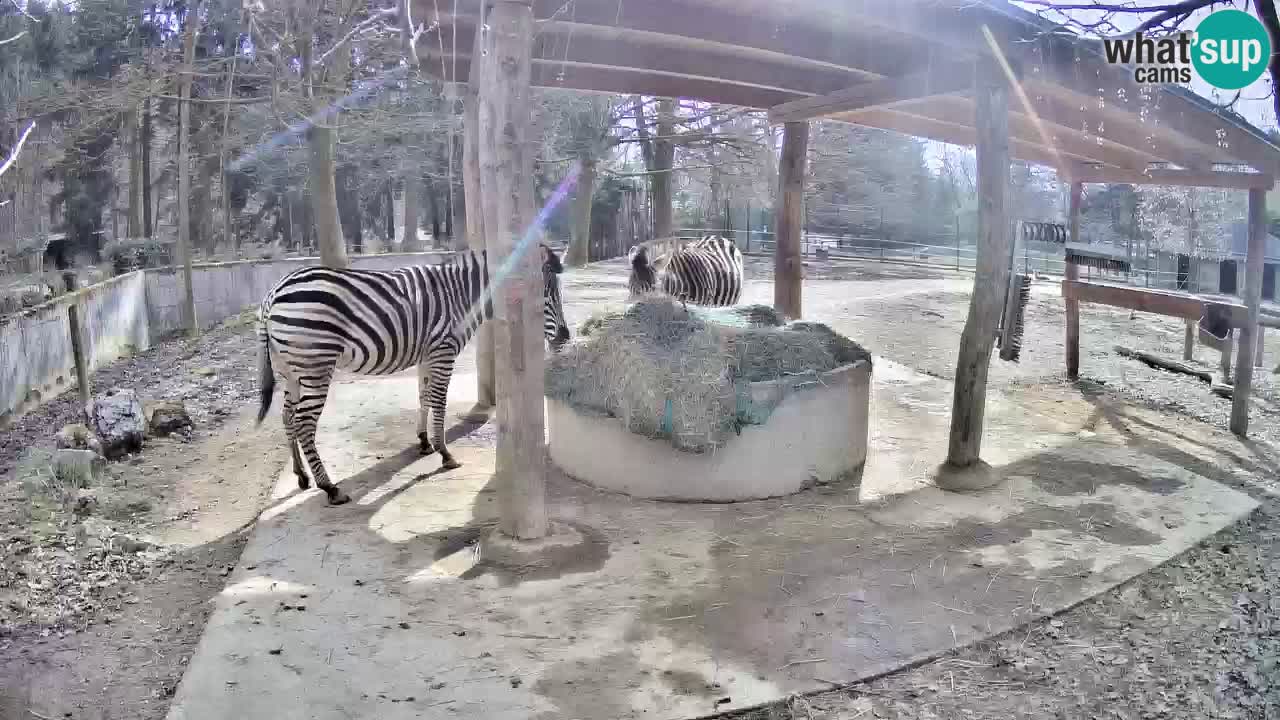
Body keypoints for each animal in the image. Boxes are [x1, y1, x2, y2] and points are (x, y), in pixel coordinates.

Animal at [252, 243, 568, 502]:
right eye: (546, 293)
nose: (565, 336)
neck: (461, 295)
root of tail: (272, 294)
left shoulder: (427, 354)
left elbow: (424, 396)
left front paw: (424, 441)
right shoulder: (443, 351)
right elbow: (439, 401)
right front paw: (444, 453)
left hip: (290, 369)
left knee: (287, 416)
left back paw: (301, 476)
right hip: (315, 363)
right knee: (304, 422)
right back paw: (329, 487)